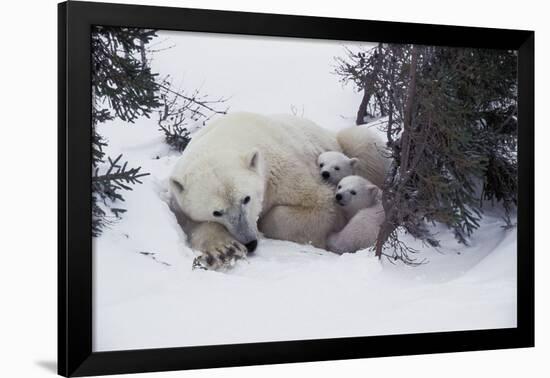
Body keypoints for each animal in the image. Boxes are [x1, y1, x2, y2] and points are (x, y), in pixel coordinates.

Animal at [170, 112, 390, 268]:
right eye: (217, 212)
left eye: (246, 199)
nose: (250, 243)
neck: (231, 135)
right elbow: (185, 219)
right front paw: (224, 250)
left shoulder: (280, 170)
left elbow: (322, 206)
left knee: (361, 140)